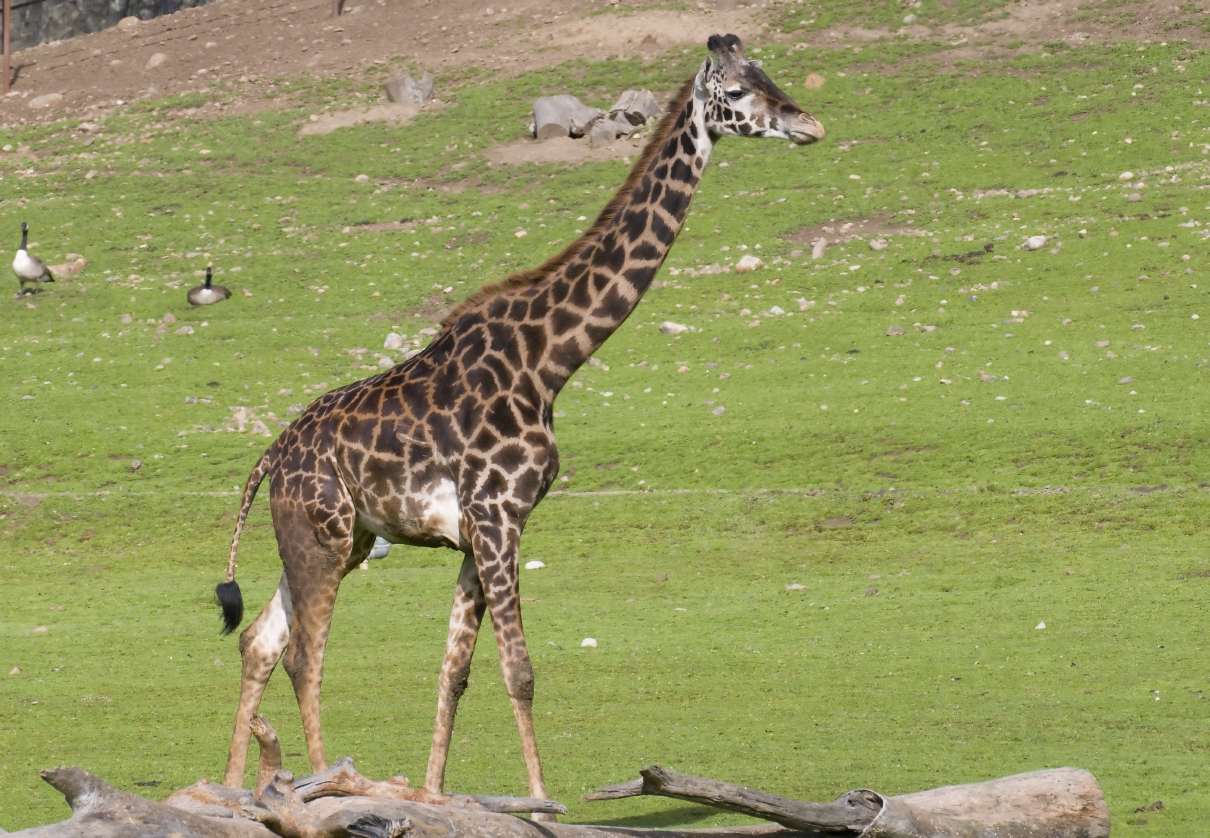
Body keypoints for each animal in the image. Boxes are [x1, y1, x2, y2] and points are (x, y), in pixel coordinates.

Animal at [215, 34, 822, 798]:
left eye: (769, 73)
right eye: (737, 92)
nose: (809, 125)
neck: (549, 362)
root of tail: (271, 455)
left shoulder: (481, 532)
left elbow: (455, 672)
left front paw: (435, 795)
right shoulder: (499, 517)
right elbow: (520, 672)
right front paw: (539, 801)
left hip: (337, 539)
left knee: (258, 640)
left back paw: (232, 788)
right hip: (321, 538)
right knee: (304, 658)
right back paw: (325, 783)